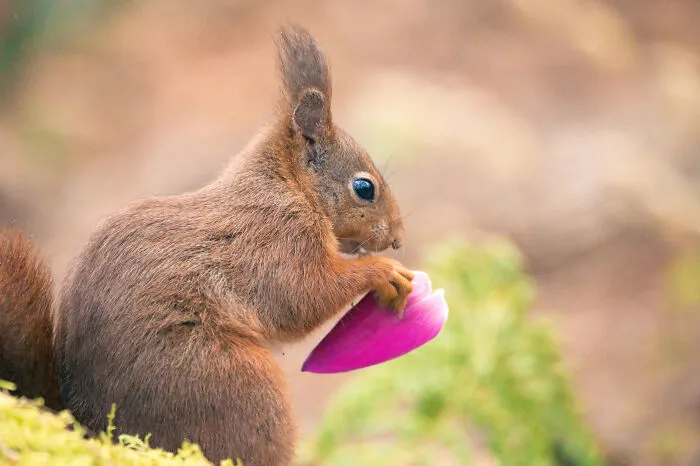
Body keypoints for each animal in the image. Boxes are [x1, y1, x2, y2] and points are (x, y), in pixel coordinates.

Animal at [0, 25, 413, 466]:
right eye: (364, 188)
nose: (397, 239)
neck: (288, 187)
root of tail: (93, 425)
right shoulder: (275, 240)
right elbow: (301, 296)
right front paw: (384, 273)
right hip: (229, 381)